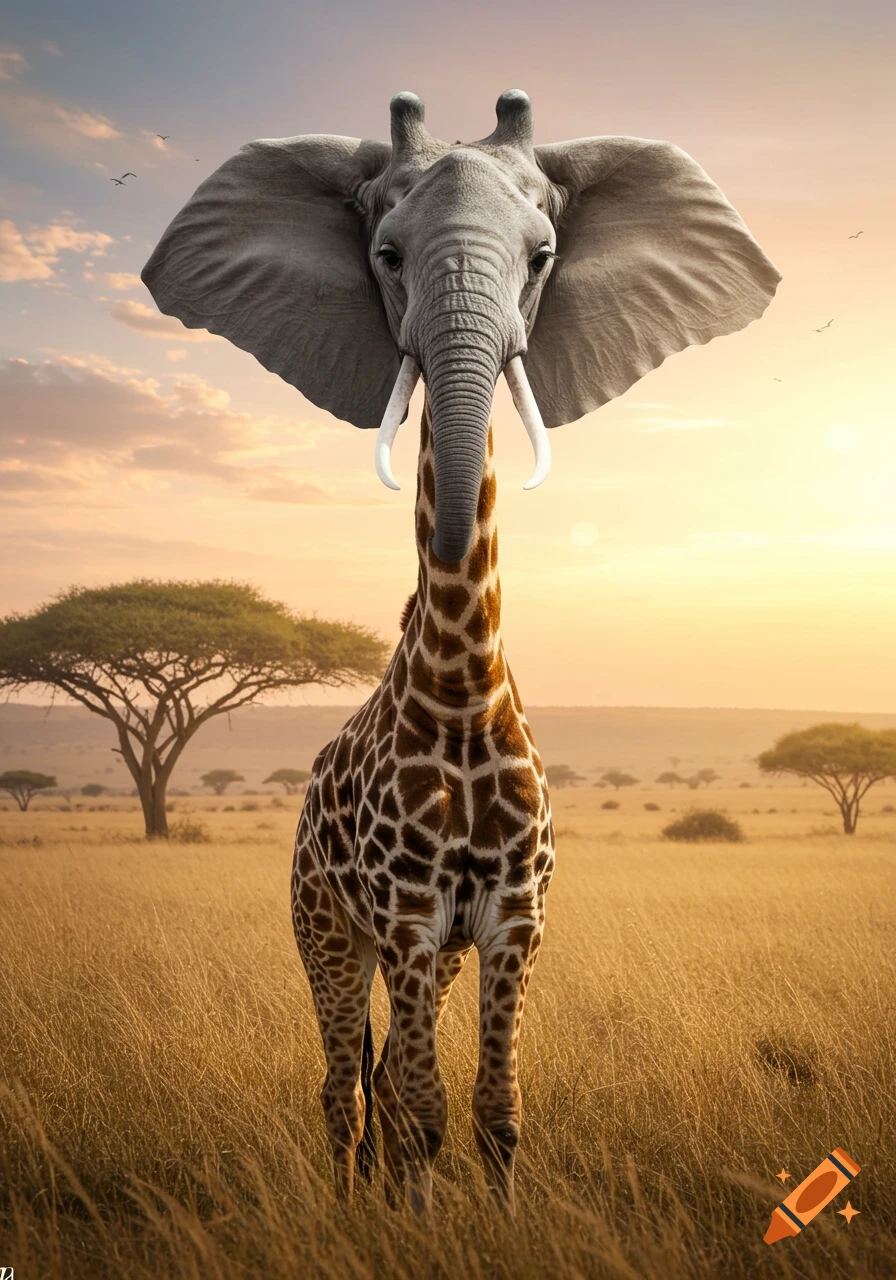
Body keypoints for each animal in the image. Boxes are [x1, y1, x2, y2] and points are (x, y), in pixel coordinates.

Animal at [291, 394, 554, 1214]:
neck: (465, 691)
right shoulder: (405, 920)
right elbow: (426, 1110)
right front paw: (422, 1228)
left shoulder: (513, 918)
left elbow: (497, 1107)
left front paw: (502, 1226)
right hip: (329, 935)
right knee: (343, 1089)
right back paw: (348, 1210)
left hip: (443, 958)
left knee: (380, 1080)